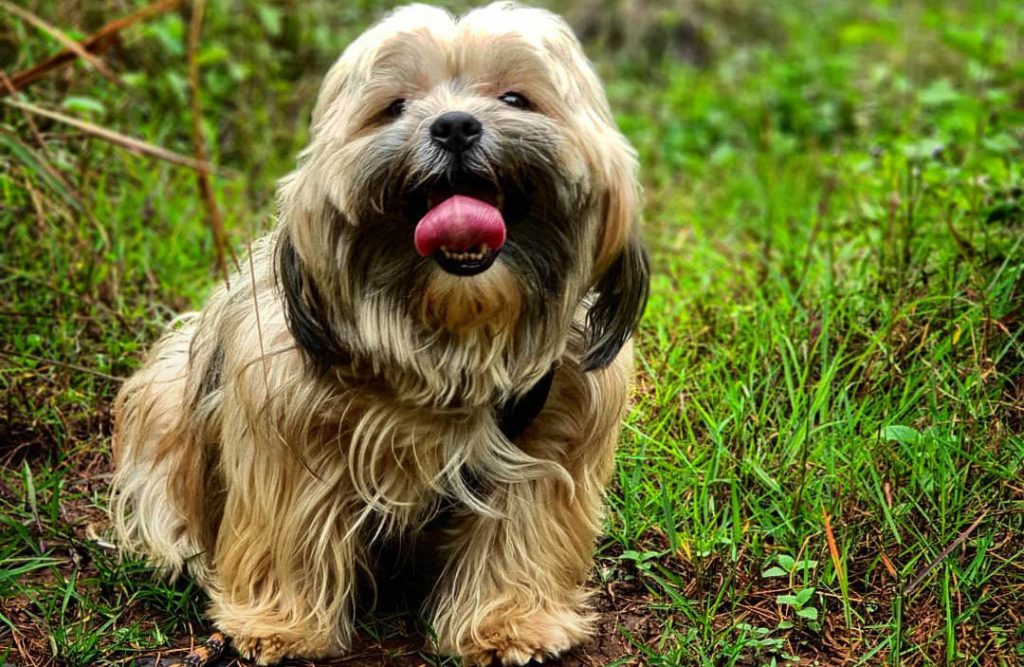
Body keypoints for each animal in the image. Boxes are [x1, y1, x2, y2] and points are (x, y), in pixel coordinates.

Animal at [110, 2, 647, 663]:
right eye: (394, 107)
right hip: (165, 393)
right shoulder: (285, 428)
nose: (455, 126)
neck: (452, 340)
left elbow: (520, 535)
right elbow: (287, 532)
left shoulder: (554, 436)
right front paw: (281, 625)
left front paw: (510, 621)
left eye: (515, 98)